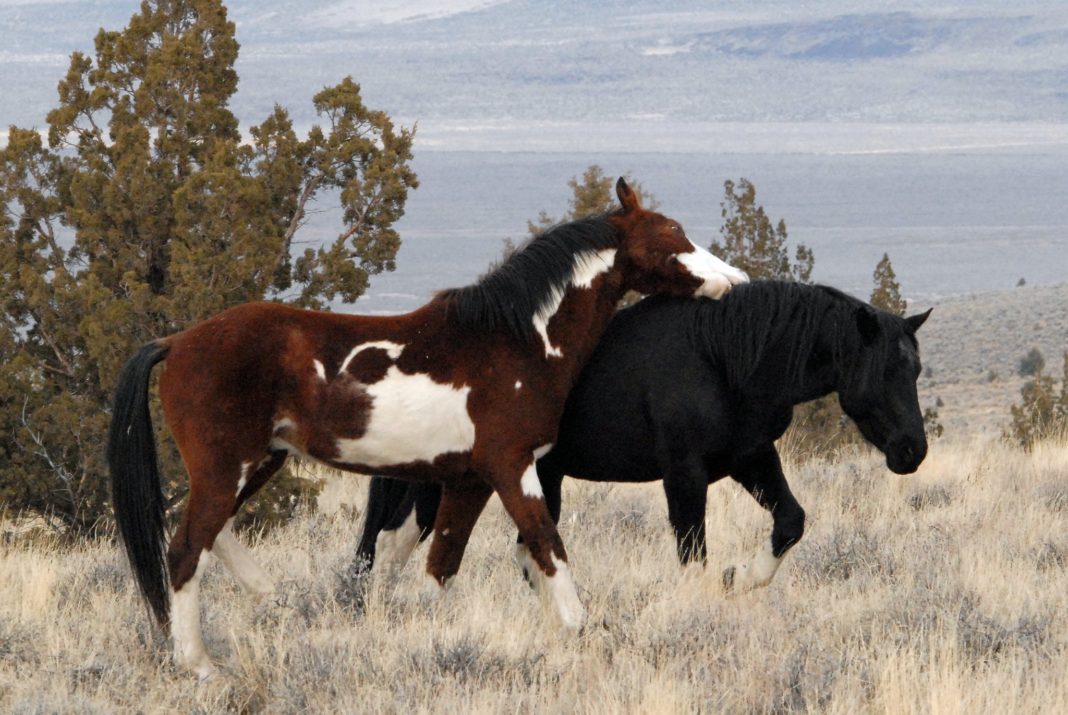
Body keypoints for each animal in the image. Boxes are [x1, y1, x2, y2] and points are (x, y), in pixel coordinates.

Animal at [106, 179, 748, 678]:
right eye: (671, 232)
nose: (735, 280)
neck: (517, 342)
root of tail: (177, 342)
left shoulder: (466, 481)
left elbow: (441, 567)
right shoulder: (511, 468)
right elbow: (547, 547)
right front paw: (581, 632)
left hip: (261, 460)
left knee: (210, 531)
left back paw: (274, 597)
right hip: (227, 464)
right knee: (185, 548)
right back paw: (199, 665)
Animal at [355, 281, 931, 593]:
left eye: (916, 369)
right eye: (884, 371)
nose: (912, 450)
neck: (720, 357)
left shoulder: (751, 458)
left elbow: (789, 522)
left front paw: (740, 576)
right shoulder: (684, 475)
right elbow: (692, 550)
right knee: (390, 542)